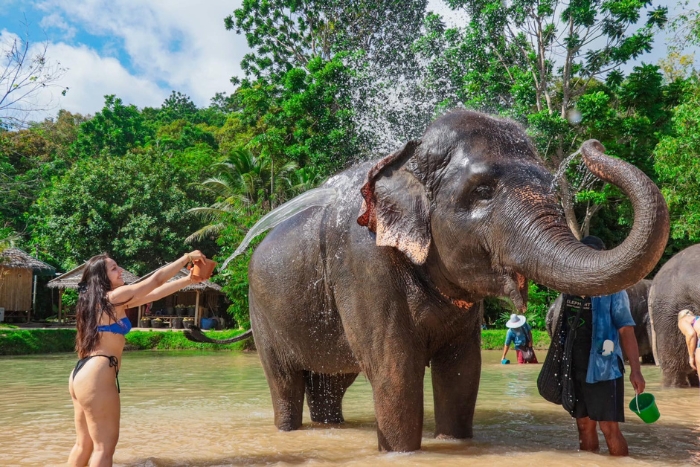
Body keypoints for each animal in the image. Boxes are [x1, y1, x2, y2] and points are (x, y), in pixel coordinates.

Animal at [197, 110, 669, 451]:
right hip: (263, 316)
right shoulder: (364, 265)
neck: (405, 160)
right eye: (483, 192)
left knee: (331, 381)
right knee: (285, 382)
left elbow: (461, 368)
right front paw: (402, 453)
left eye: (554, 190)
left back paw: (333, 428)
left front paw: (454, 443)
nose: (592, 143)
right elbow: (395, 369)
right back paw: (290, 430)